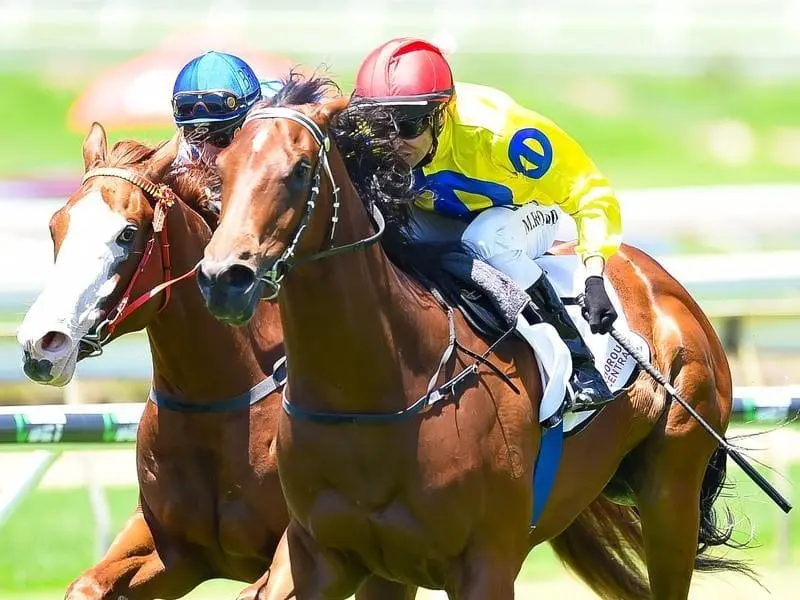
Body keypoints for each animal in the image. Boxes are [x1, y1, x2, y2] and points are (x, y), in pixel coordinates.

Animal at [16, 122, 416, 600]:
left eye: (127, 233)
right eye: (56, 225)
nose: (42, 343)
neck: (217, 395)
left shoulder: (309, 549)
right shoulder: (173, 548)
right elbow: (87, 585)